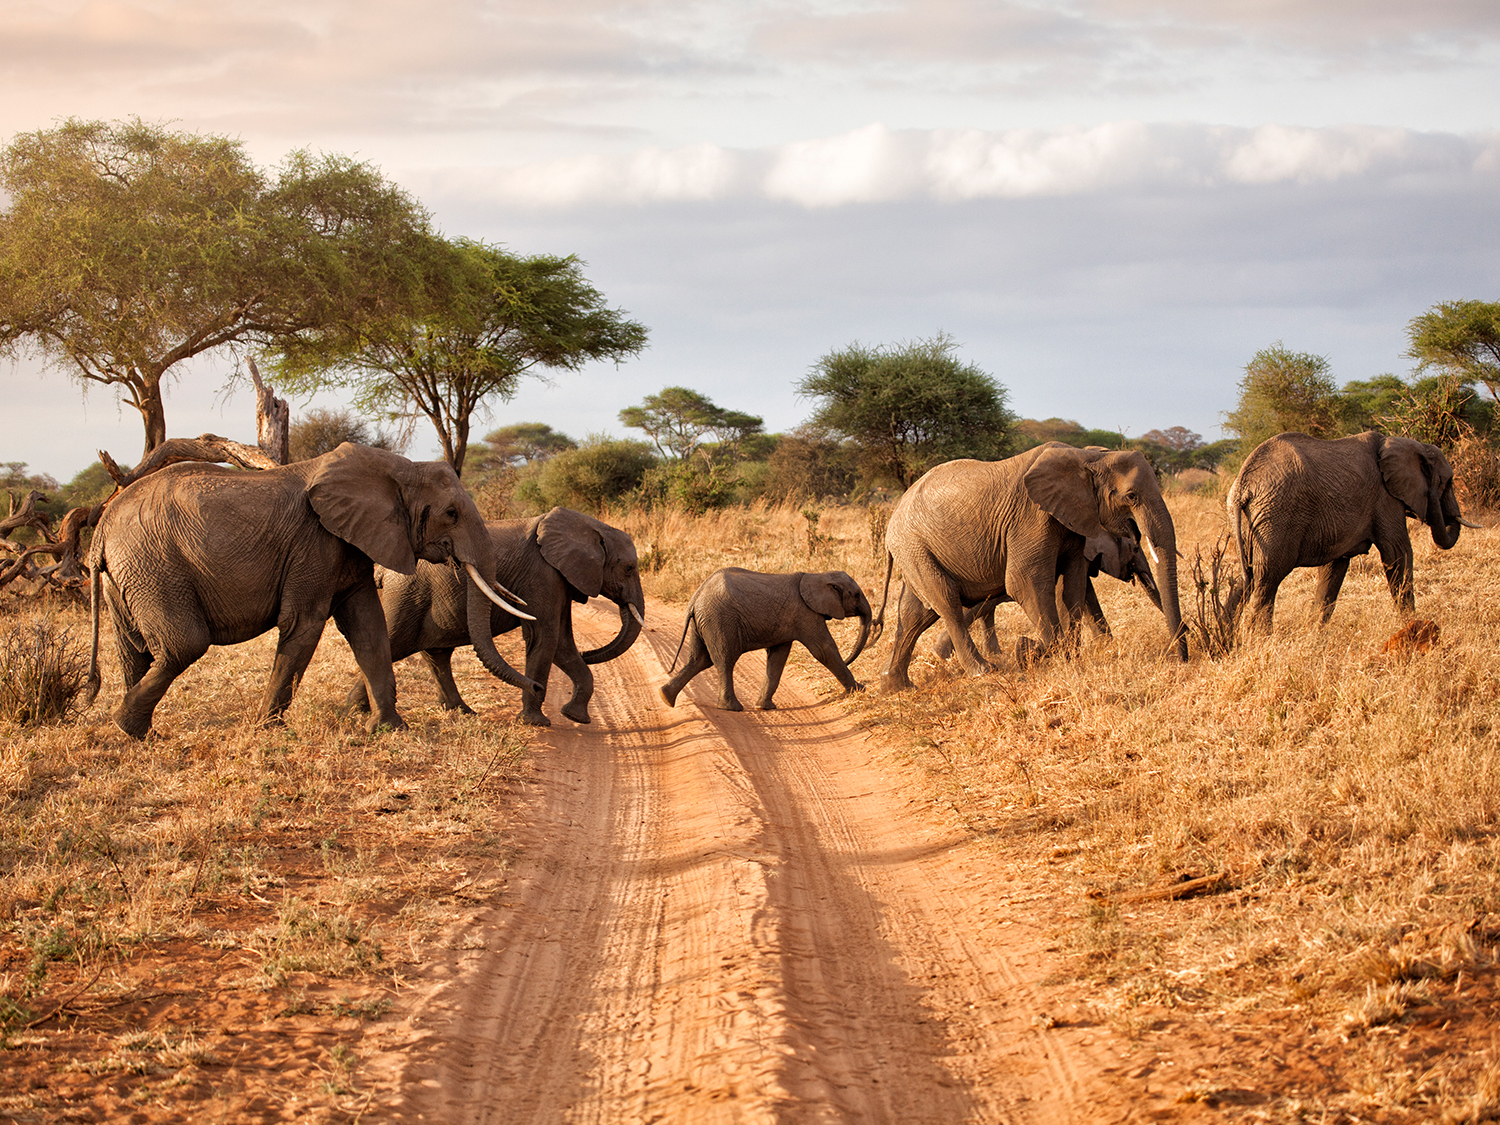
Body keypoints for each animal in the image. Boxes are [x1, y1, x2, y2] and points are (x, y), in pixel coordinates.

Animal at [86, 442, 538, 739]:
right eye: (452, 513)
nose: (535, 688)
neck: (397, 469)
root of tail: (101, 528)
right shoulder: (314, 541)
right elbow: (304, 623)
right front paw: (267, 730)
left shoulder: (351, 543)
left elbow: (369, 629)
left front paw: (390, 729)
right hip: (154, 566)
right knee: (183, 644)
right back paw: (125, 725)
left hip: (129, 576)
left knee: (134, 649)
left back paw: (139, 733)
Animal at [345, 507, 646, 727]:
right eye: (630, 568)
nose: (537, 687)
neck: (590, 525)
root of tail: (383, 571)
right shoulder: (542, 576)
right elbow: (545, 638)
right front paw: (536, 722)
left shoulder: (559, 579)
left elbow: (562, 643)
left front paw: (575, 717)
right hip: (407, 595)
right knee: (393, 644)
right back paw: (356, 712)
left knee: (436, 654)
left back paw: (460, 712)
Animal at [659, 568, 873, 712]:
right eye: (856, 595)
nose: (849, 660)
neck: (818, 575)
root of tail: (695, 598)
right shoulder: (806, 615)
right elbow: (824, 650)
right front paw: (860, 689)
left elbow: (777, 658)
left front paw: (764, 707)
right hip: (719, 620)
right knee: (724, 660)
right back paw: (732, 708)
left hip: (703, 622)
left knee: (700, 660)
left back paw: (665, 698)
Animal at [1226, 430, 1481, 633]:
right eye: (1447, 482)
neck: (1400, 442)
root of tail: (1243, 486)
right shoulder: (1385, 499)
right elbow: (1398, 554)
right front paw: (1413, 625)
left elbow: (1334, 568)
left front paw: (1315, 634)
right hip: (1278, 516)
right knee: (1267, 578)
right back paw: (1260, 639)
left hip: (1252, 524)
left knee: (1245, 578)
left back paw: (1224, 641)